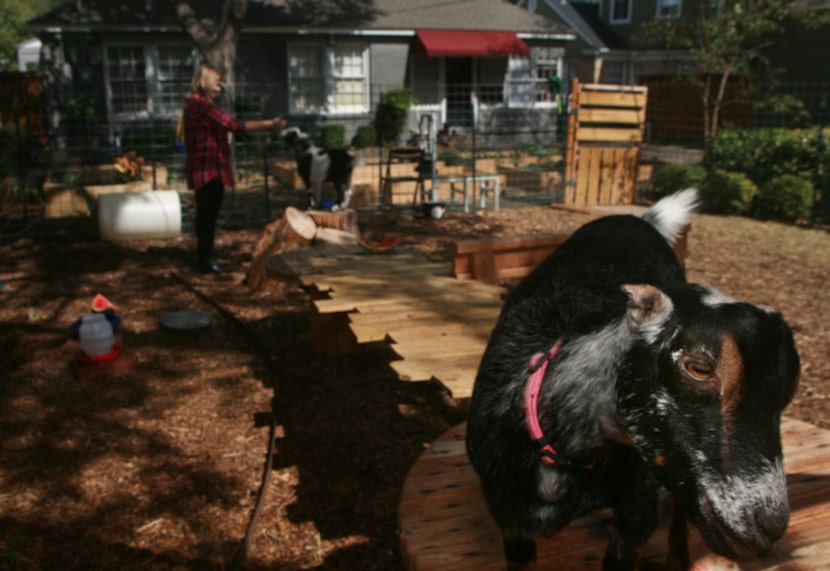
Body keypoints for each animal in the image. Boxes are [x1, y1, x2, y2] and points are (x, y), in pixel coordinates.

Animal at [468, 189, 800, 571]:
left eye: (788, 391)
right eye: (699, 367)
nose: (770, 524)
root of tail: (636, 219)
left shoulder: (638, 511)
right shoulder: (508, 518)